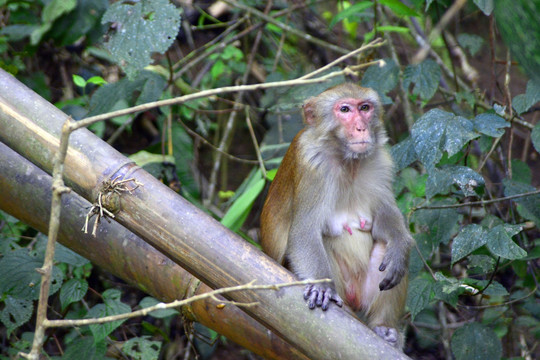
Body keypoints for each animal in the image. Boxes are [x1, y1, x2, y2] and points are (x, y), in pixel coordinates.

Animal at [260, 82, 414, 348]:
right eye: (344, 110)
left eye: (365, 108)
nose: (361, 127)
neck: (347, 162)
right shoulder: (312, 166)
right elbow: (304, 232)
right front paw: (323, 287)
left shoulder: (381, 160)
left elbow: (384, 217)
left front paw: (400, 244)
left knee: (385, 248)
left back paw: (384, 328)